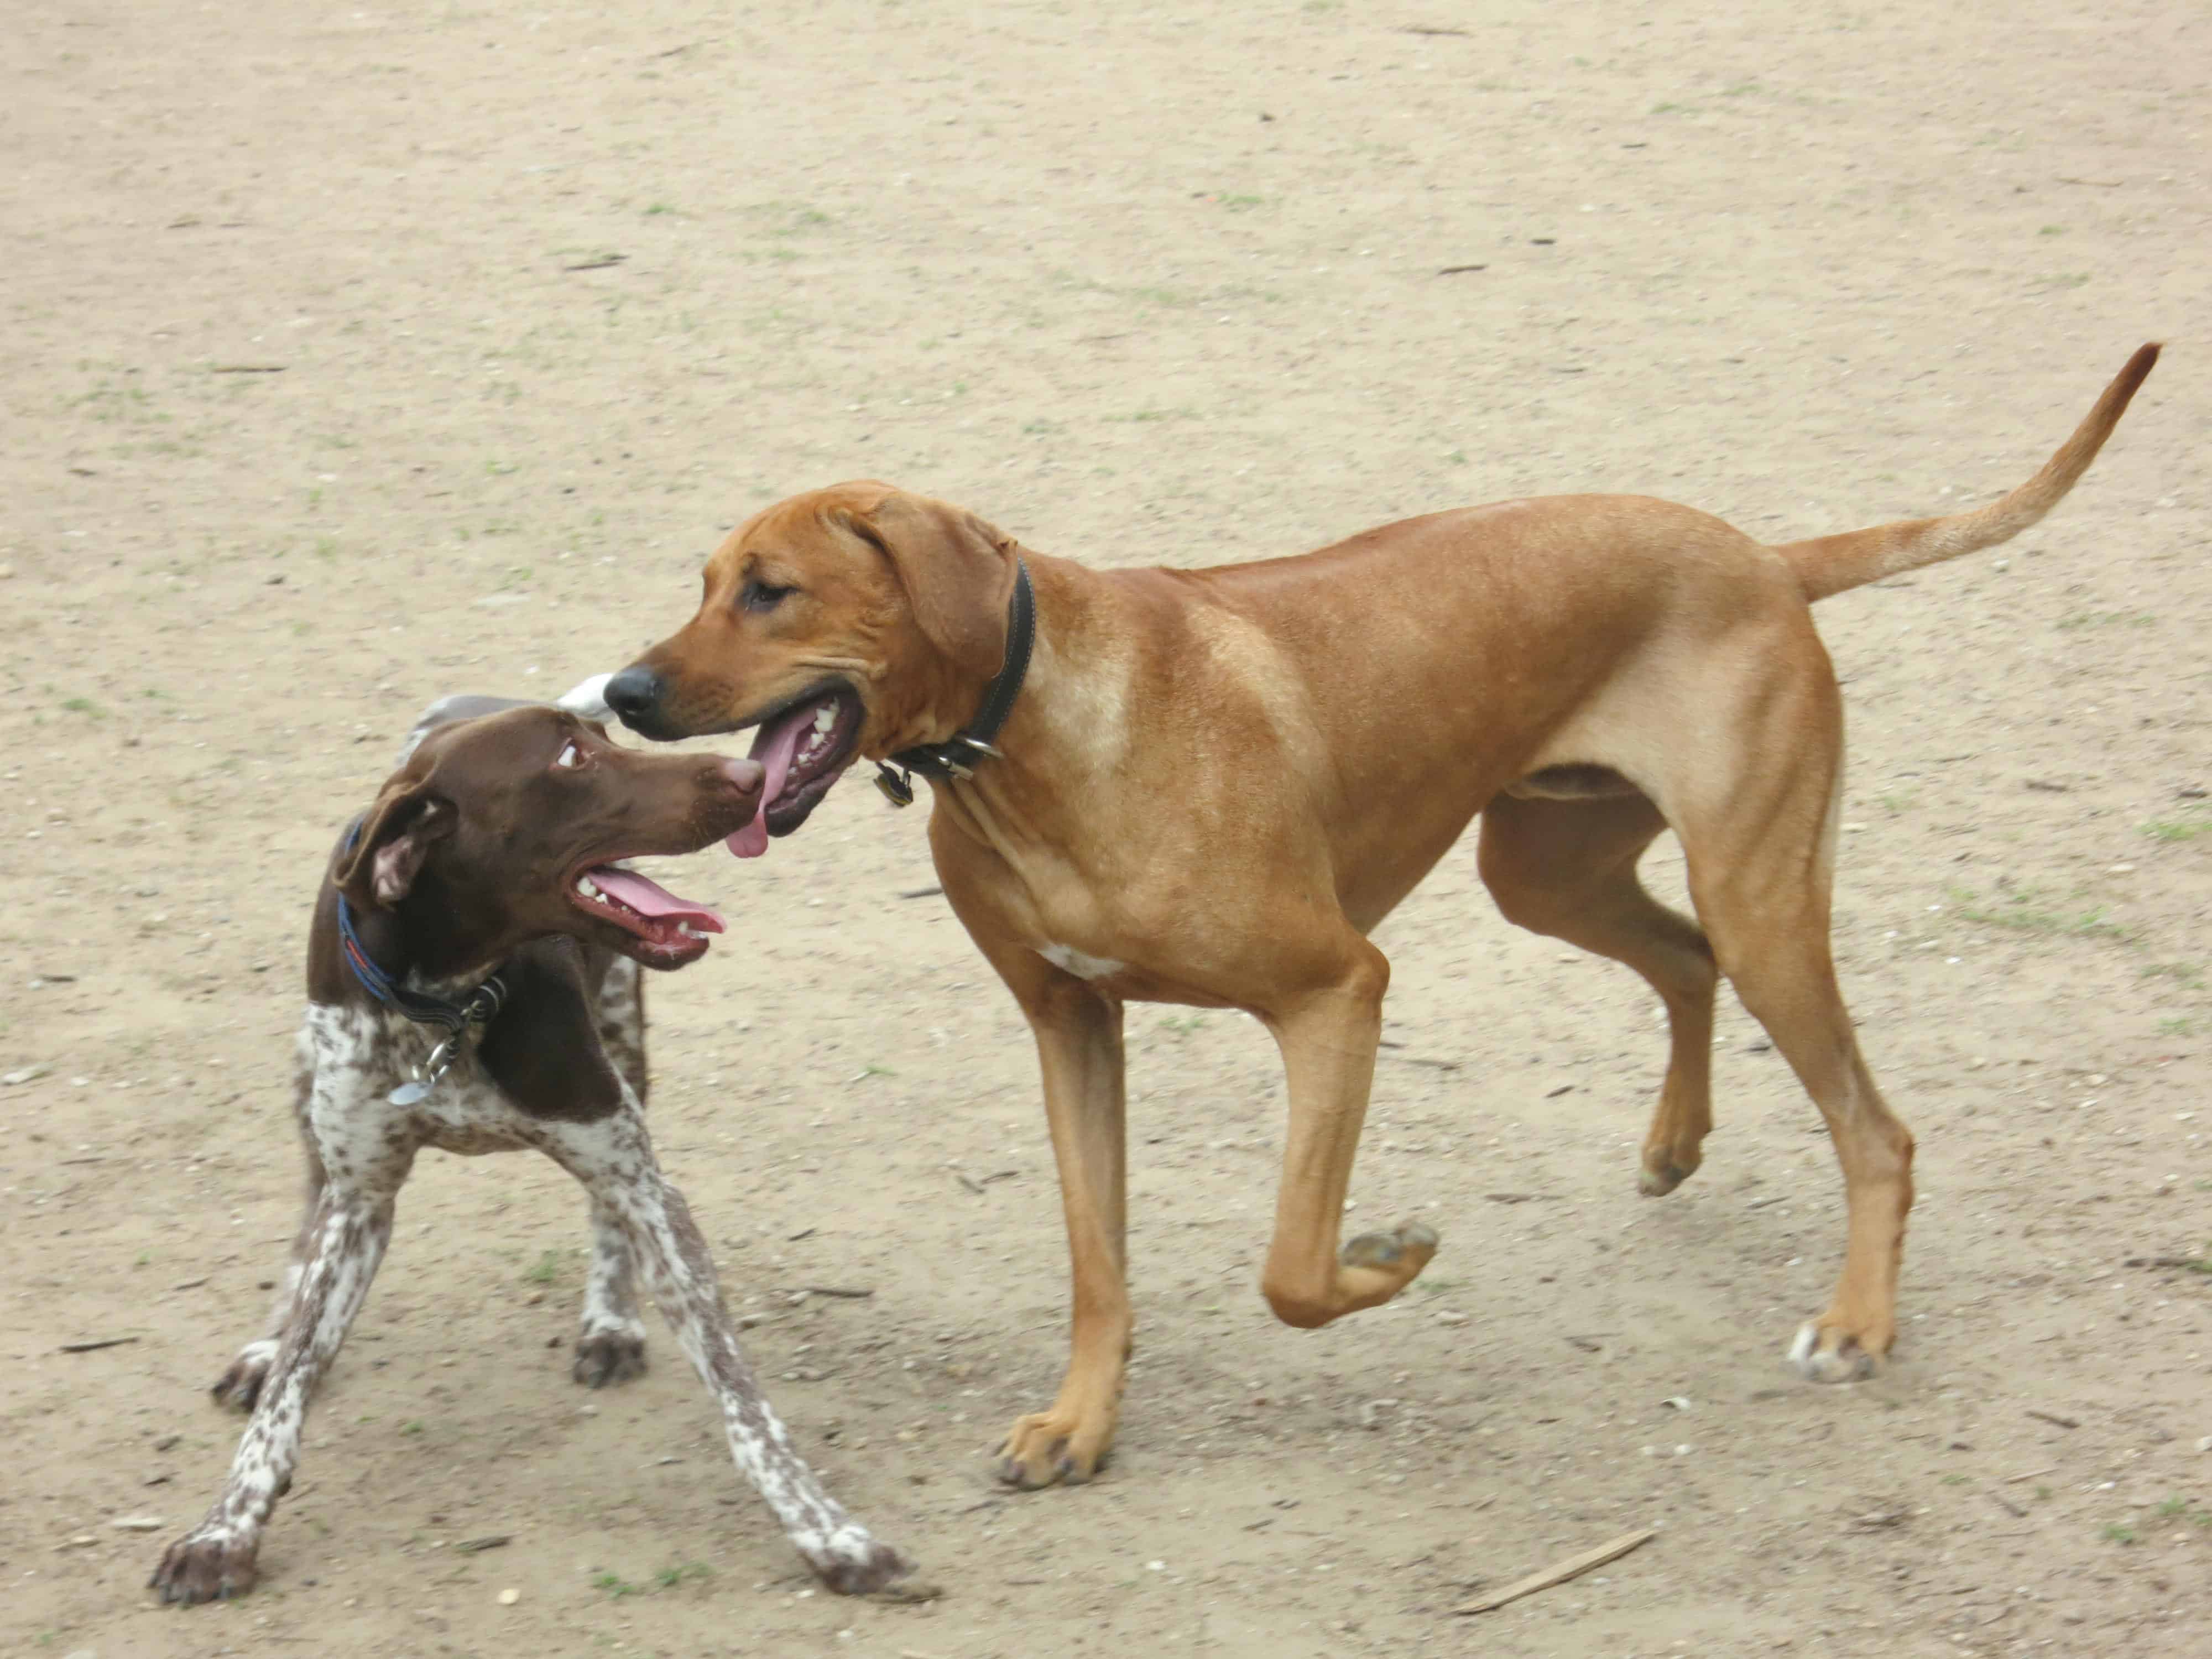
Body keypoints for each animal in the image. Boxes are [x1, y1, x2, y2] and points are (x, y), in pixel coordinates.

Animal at [152, 690, 907, 1610]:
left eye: (605, 739)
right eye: (570, 761)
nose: (751, 773)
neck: (448, 1004)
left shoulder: (638, 1174)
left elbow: (743, 1399)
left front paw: (826, 1530)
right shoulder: (363, 1198)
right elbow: (290, 1387)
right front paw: (226, 1527)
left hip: (624, 1058)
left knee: (606, 1212)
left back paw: (610, 1323)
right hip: (309, 1096)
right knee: (306, 1221)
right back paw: (266, 1342)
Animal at [597, 347, 2150, 1495]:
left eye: (771, 590)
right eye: (701, 585)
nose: (622, 690)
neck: (1033, 737)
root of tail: (1764, 556)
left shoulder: (1337, 988)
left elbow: (1292, 1266)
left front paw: (1387, 1259)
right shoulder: (1069, 1022)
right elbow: (1097, 1263)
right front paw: (1079, 1421)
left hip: (1757, 891)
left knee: (1872, 1125)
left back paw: (1857, 1320)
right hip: (1548, 872)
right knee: (1684, 959)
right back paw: (1674, 1140)